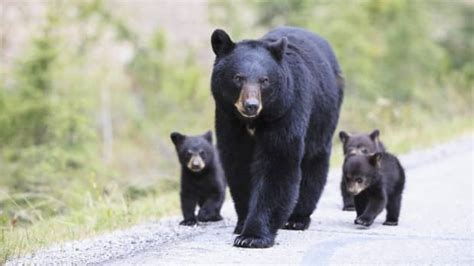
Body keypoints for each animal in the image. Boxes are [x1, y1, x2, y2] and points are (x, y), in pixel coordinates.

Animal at [209, 26, 342, 248]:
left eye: (264, 80)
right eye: (238, 77)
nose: (251, 105)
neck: (256, 120)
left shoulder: (286, 110)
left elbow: (277, 162)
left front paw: (252, 236)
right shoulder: (229, 118)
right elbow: (239, 164)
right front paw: (242, 223)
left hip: (323, 115)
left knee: (314, 162)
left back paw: (297, 218)